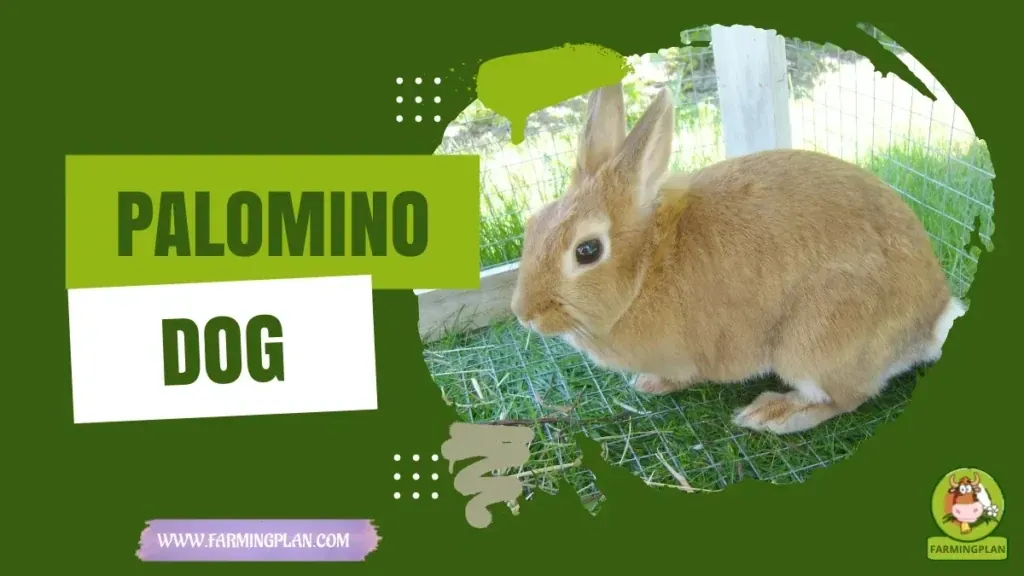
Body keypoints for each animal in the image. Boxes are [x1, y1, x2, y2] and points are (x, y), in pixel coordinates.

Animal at [509, 81, 967, 435]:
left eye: (587, 251)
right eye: (534, 224)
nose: (524, 314)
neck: (645, 267)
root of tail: (932, 320)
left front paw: (653, 384)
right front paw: (647, 384)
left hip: (814, 342)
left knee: (844, 399)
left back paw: (772, 414)